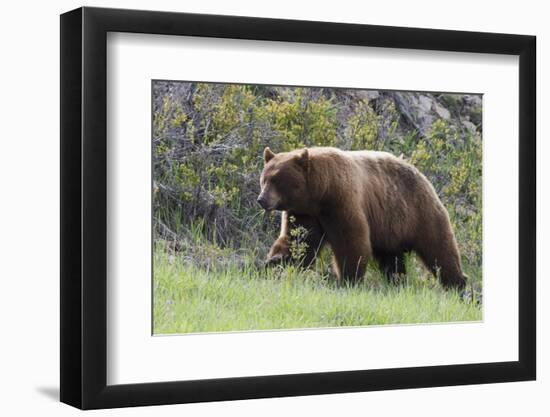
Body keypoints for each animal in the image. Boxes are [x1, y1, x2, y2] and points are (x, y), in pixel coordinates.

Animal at [260, 146, 468, 290]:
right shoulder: (305, 213)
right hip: (390, 227)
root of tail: (421, 174)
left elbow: (351, 241)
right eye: (264, 179)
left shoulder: (341, 202)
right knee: (392, 259)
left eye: (276, 180)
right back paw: (397, 281)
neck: (319, 193)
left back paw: (458, 284)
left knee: (439, 249)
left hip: (419, 212)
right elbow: (299, 240)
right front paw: (275, 261)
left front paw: (348, 279)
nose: (261, 199)